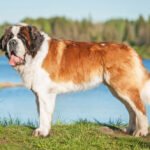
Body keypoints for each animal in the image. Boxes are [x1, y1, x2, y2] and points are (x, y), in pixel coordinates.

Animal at [0, 23, 150, 137]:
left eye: (22, 37)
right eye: (9, 37)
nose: (12, 42)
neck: (35, 53)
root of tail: (129, 48)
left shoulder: (45, 93)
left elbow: (43, 114)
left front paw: (42, 132)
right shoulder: (39, 94)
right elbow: (42, 113)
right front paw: (43, 130)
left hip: (123, 87)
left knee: (140, 108)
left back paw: (141, 132)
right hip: (117, 90)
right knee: (131, 109)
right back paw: (130, 130)